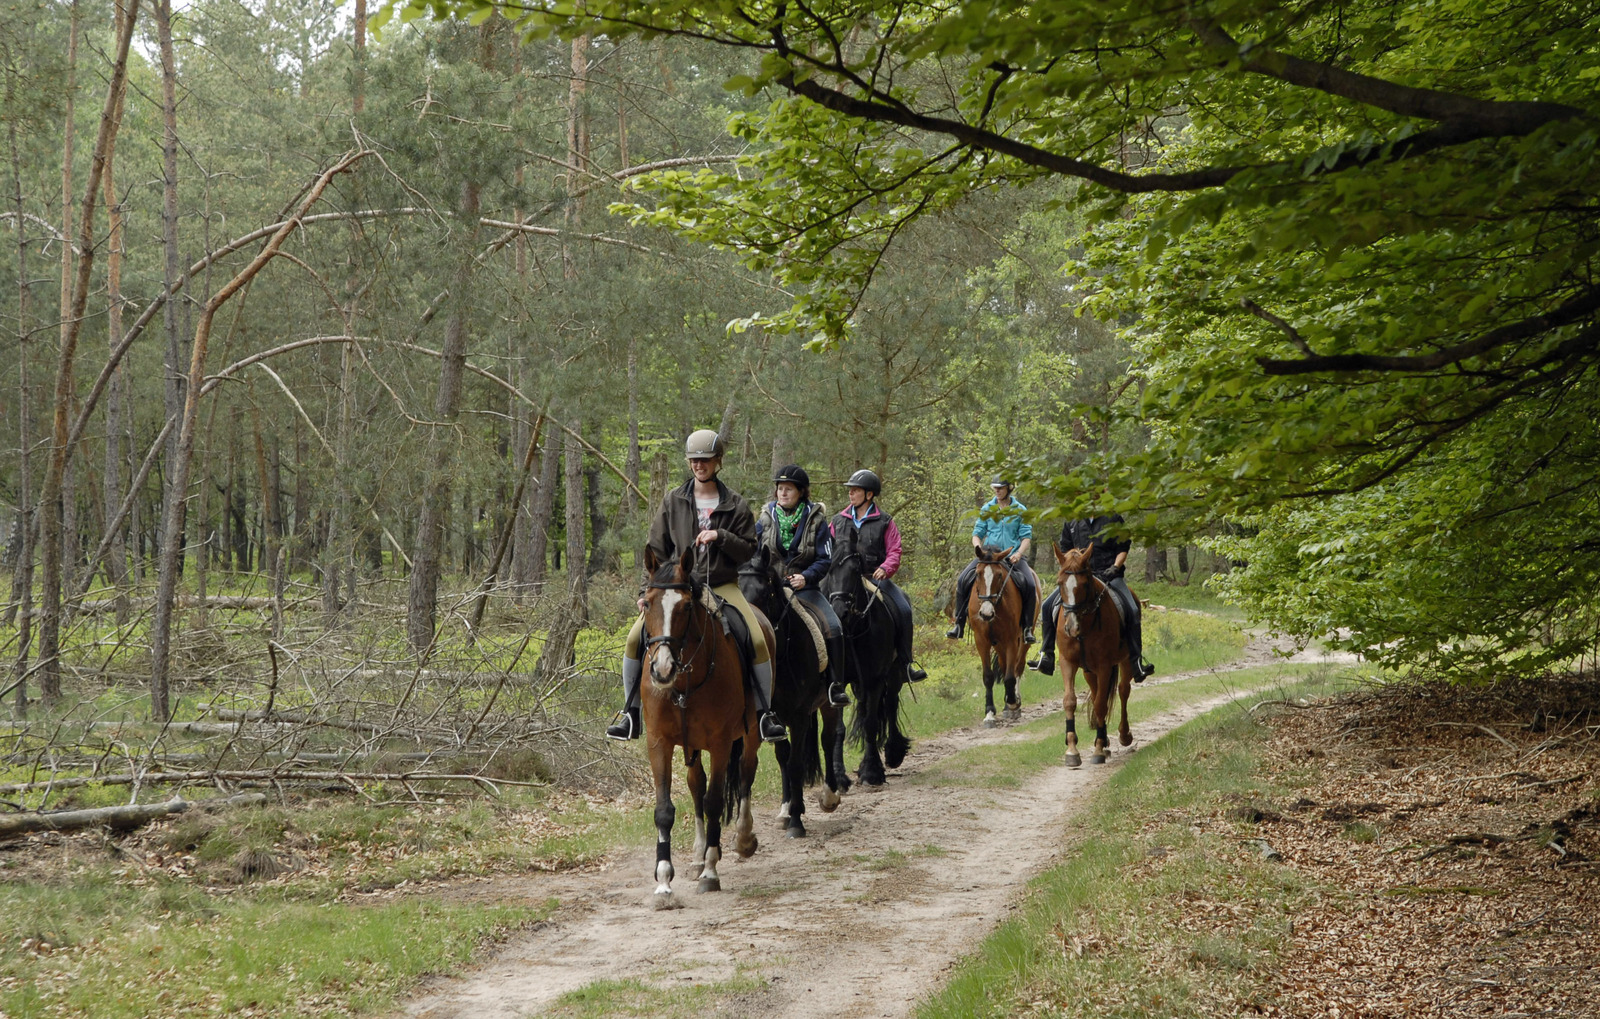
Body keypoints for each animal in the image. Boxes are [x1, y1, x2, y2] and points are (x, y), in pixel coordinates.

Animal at [636, 547, 768, 908]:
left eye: (684, 606)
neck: (684, 682)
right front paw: (664, 882)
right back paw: (698, 856)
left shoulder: (721, 743)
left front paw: (711, 872)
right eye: (646, 603)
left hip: (750, 733)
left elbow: (714, 803)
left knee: (746, 772)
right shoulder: (659, 743)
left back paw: (741, 839)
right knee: (696, 784)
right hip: (691, 745)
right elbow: (665, 809)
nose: (662, 669)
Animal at [742, 543, 857, 838]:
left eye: (764, 592)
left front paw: (796, 822)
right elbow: (784, 759)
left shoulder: (798, 716)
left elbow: (796, 763)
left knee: (828, 740)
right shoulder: (776, 719)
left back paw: (829, 797)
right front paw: (787, 810)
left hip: (828, 703)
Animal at [825, 521, 915, 783]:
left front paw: (871, 771)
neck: (854, 629)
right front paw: (839, 774)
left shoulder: (875, 680)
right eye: (828, 570)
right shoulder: (839, 684)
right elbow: (839, 728)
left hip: (894, 674)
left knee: (891, 704)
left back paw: (894, 752)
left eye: (855, 569)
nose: (839, 611)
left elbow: (872, 723)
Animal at [960, 547, 1024, 723]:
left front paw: (1012, 702)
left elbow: (1010, 676)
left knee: (1018, 667)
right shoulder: (981, 640)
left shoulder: (1011, 640)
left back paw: (1014, 703)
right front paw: (989, 712)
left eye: (1000, 575)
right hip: (999, 645)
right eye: (977, 574)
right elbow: (989, 676)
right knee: (1004, 665)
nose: (986, 614)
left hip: (1022, 640)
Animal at [1049, 540, 1139, 761]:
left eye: (1085, 584)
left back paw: (1124, 735)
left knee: (1123, 690)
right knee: (1097, 690)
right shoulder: (1068, 662)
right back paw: (1105, 739)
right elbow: (1069, 701)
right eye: (1059, 583)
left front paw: (1098, 749)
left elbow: (1100, 704)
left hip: (1124, 661)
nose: (1071, 628)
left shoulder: (1105, 665)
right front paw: (1072, 749)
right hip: (1089, 670)